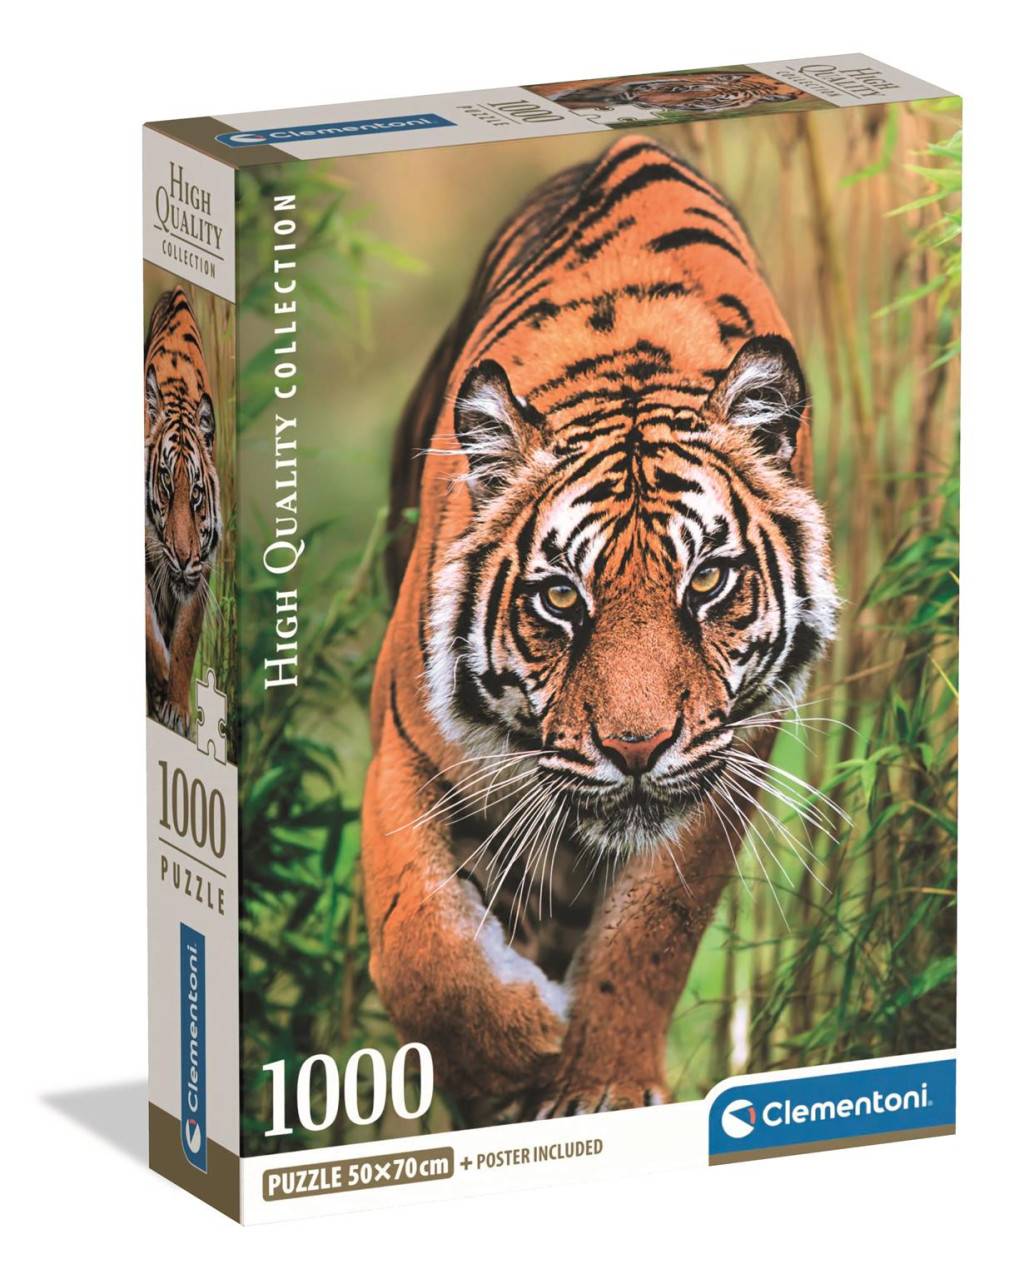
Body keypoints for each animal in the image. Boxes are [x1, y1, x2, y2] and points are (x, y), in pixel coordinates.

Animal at [362, 136, 838, 1119]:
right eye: (559, 599)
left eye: (708, 581)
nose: (635, 748)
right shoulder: (406, 747)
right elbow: (418, 944)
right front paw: (510, 1052)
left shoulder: (726, 760)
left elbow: (651, 929)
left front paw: (603, 1086)